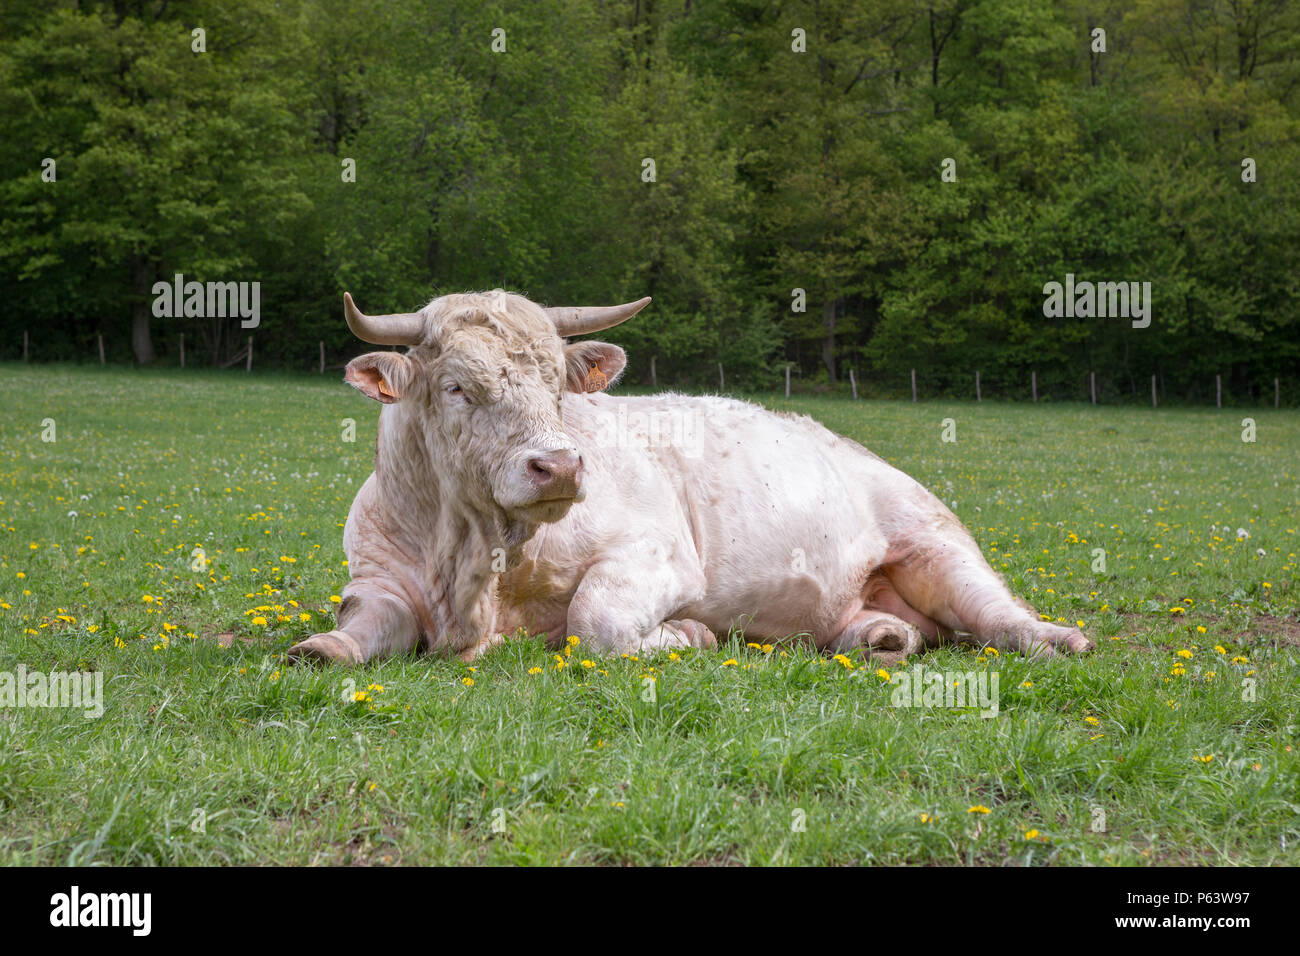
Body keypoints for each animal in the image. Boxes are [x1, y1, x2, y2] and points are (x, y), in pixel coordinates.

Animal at [287, 290, 1094, 666]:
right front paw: (322, 648)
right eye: (456, 386)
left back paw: (1058, 638)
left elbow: (596, 622)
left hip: (935, 544)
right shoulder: (378, 577)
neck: (474, 567)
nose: (560, 466)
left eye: (557, 386)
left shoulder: (657, 556)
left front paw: (688, 635)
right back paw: (882, 636)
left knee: (998, 615)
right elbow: (363, 625)